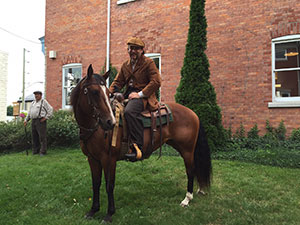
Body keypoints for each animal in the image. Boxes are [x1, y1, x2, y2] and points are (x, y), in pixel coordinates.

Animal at [71, 64, 211, 222]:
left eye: (107, 93)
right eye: (94, 92)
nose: (110, 122)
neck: (95, 128)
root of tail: (193, 113)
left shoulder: (109, 159)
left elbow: (109, 185)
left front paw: (109, 214)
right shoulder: (92, 159)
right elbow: (95, 184)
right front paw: (93, 210)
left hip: (187, 150)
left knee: (190, 170)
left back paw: (187, 199)